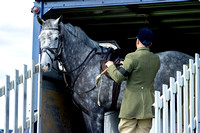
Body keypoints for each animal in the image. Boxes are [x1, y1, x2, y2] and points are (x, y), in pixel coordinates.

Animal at [38, 16, 194, 133]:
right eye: (40, 38)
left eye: (56, 38)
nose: (45, 65)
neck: (86, 64)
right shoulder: (87, 113)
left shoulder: (96, 113)